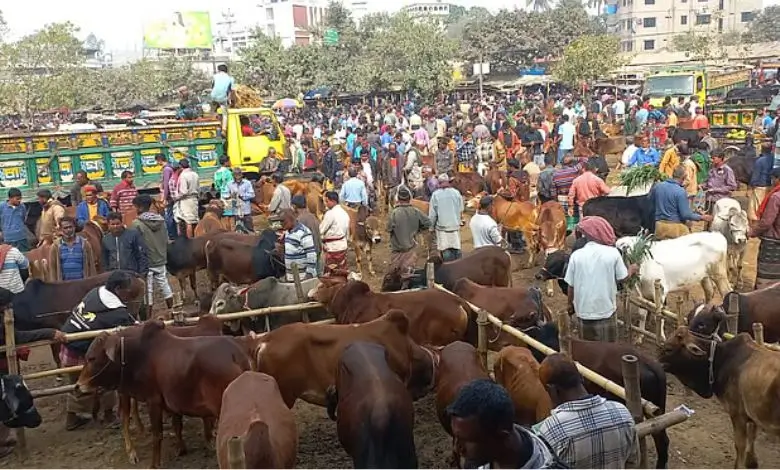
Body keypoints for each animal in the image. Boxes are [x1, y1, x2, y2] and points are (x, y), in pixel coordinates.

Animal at [76, 318, 250, 468]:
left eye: (91, 358)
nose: (78, 386)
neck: (137, 355)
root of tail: (235, 355)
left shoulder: (153, 400)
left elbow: (157, 435)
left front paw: (154, 464)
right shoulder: (171, 402)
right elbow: (177, 426)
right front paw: (181, 449)